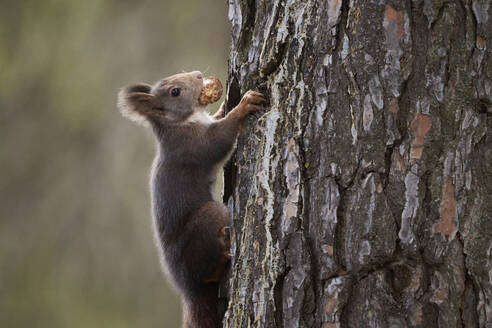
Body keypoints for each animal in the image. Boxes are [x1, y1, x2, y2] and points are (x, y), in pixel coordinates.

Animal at [117, 72, 266, 328]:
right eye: (175, 92)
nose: (198, 75)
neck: (181, 122)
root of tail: (188, 288)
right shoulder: (193, 146)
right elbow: (220, 138)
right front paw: (243, 105)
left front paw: (224, 104)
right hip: (211, 215)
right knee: (208, 273)